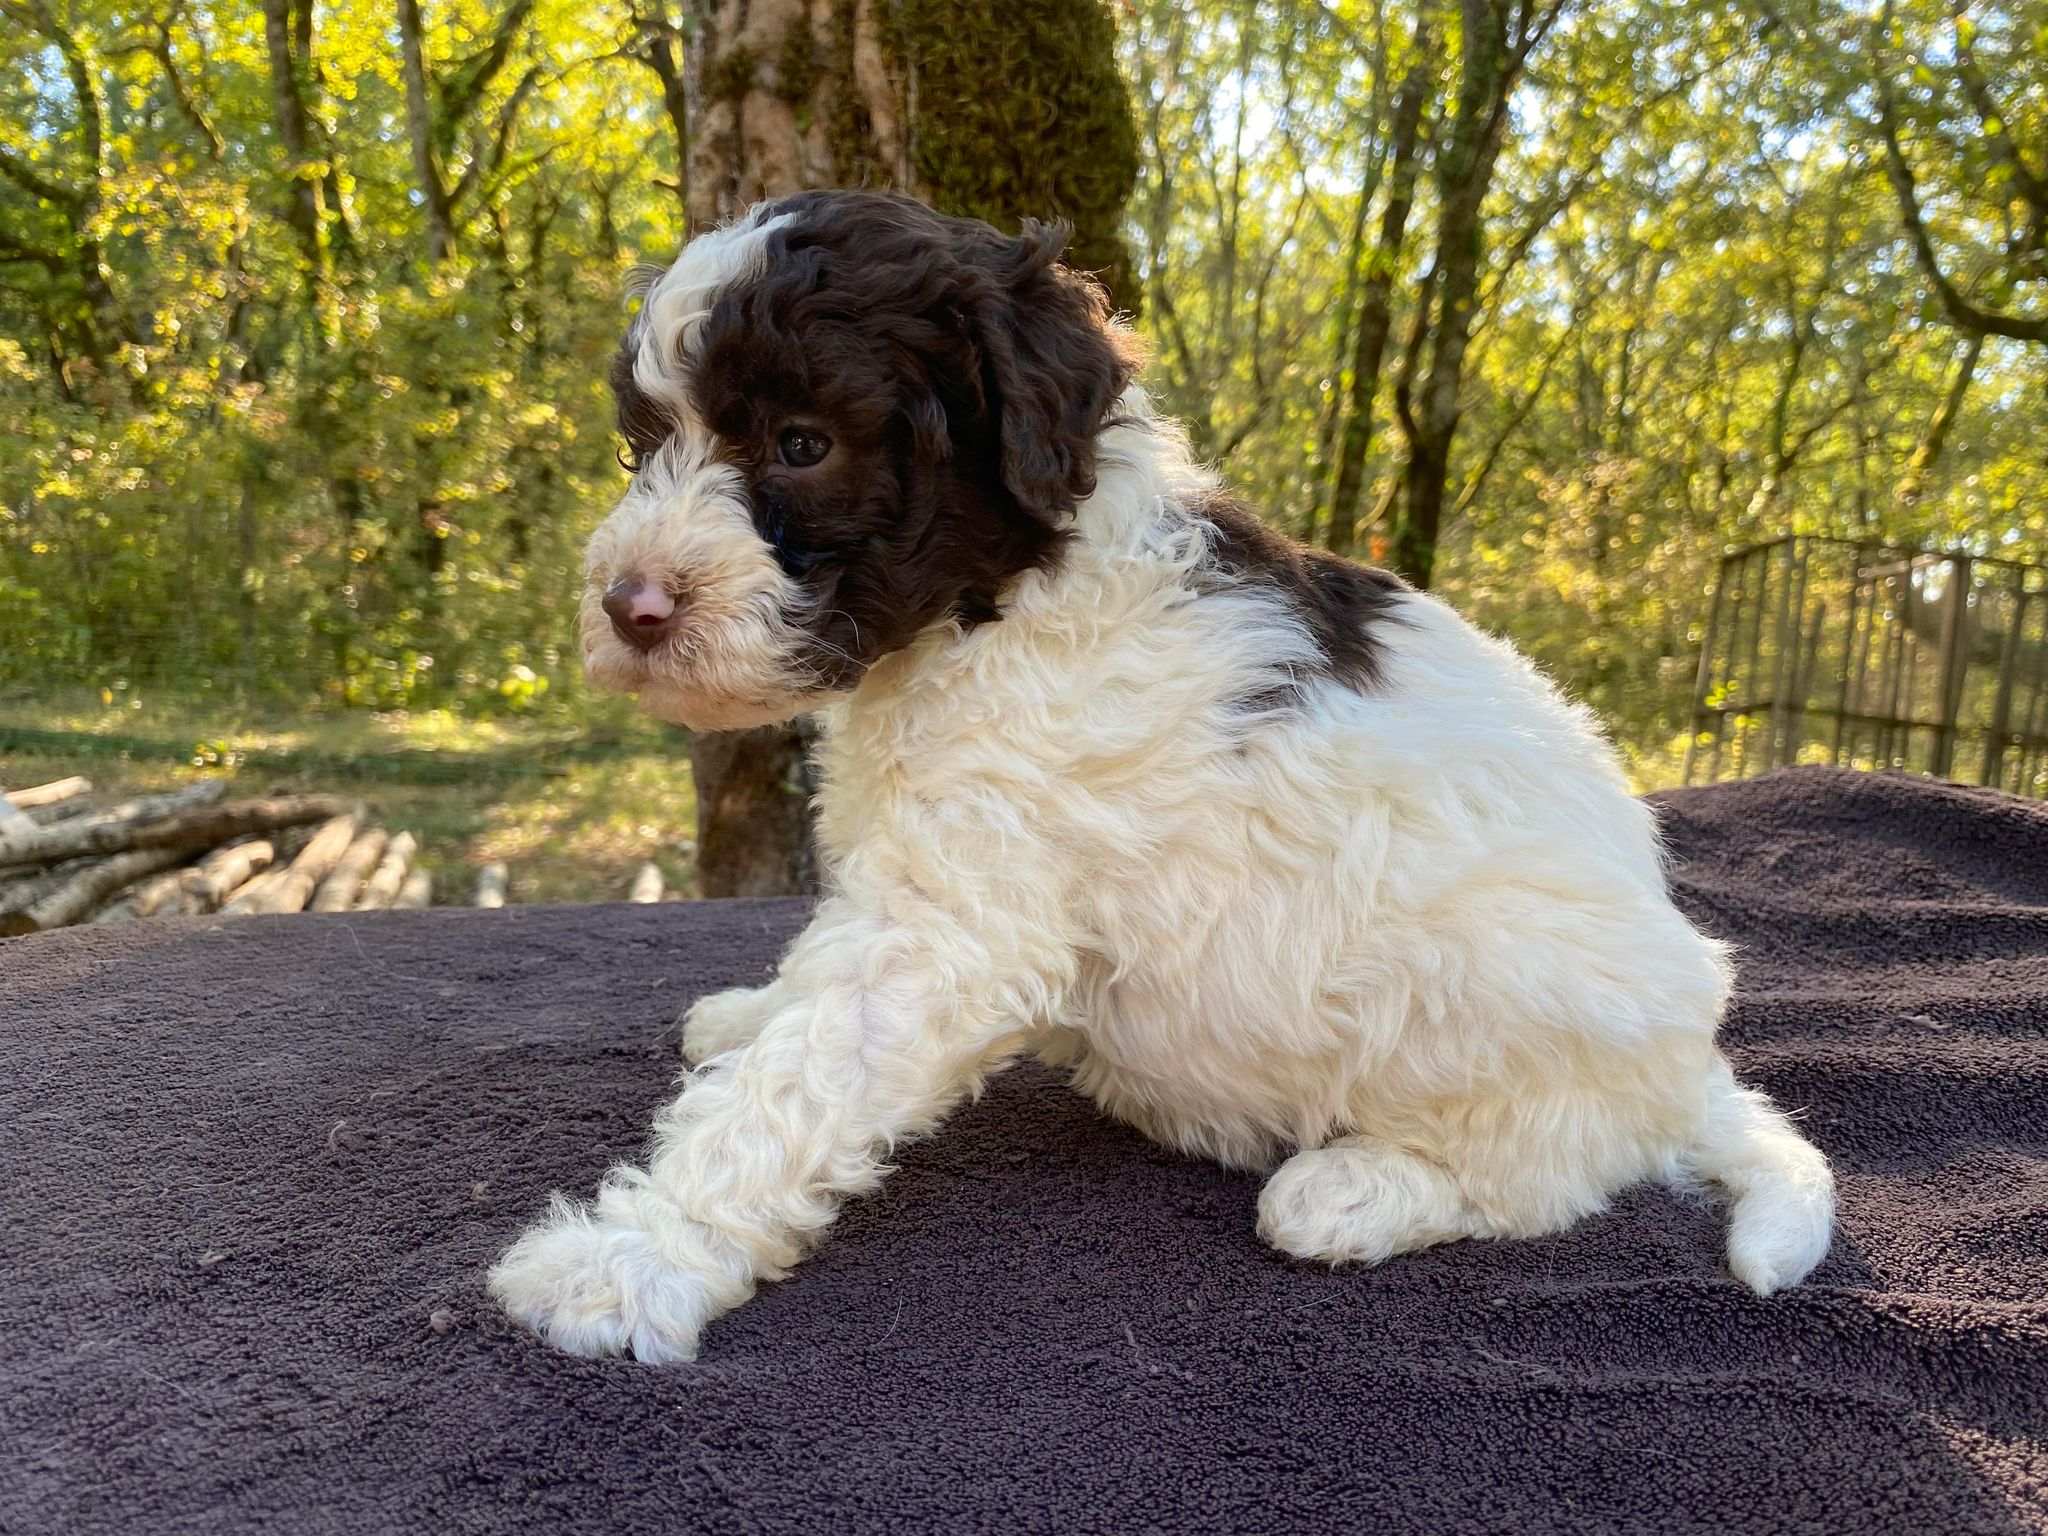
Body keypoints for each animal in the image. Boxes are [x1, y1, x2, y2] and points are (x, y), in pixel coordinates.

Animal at [483, 189, 1843, 1359]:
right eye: (642, 450)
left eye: (801, 443)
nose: (629, 607)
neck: (998, 600)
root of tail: (1688, 1062)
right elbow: (802, 1011)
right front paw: (751, 1014)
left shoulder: (955, 926)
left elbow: (793, 1086)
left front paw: (622, 1263)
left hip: (1510, 986)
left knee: (1561, 1166)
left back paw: (1360, 1189)